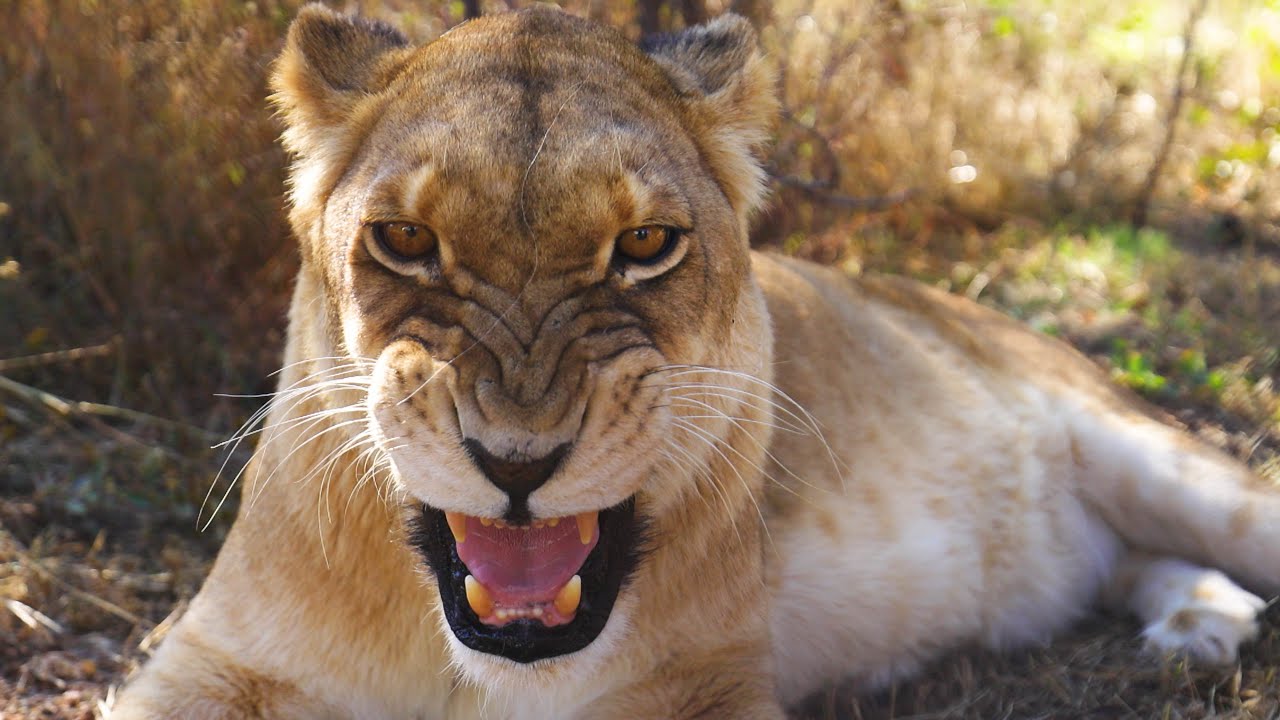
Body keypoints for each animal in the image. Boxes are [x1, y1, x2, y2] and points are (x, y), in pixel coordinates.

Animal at [111, 5, 1279, 719]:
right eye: (404, 240)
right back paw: (1199, 619)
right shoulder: (209, 662)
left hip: (1162, 462)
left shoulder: (705, 685)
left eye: (643, 244)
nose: (517, 461)